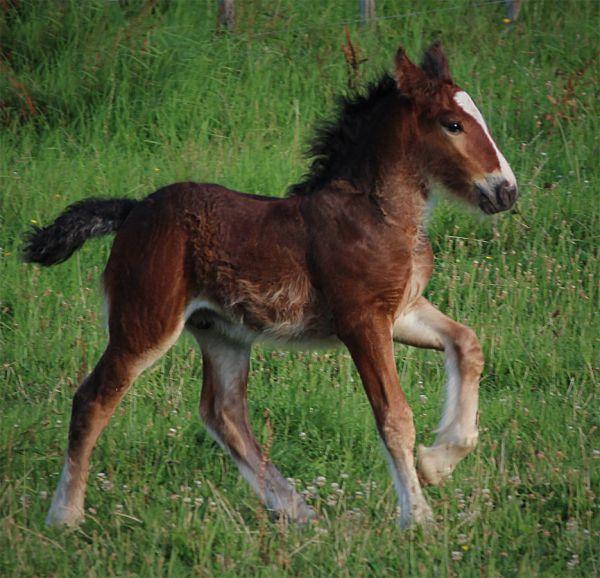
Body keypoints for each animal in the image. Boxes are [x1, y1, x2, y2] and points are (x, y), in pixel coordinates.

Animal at [24, 41, 516, 528]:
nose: (506, 191)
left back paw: (298, 511)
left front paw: (439, 461)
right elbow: (394, 416)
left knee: (224, 414)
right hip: (145, 322)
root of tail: (130, 211)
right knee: (93, 398)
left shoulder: (401, 310)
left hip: (221, 331)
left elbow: (467, 344)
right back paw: (64, 515)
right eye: (453, 124)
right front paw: (419, 519)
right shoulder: (361, 320)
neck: (379, 215)